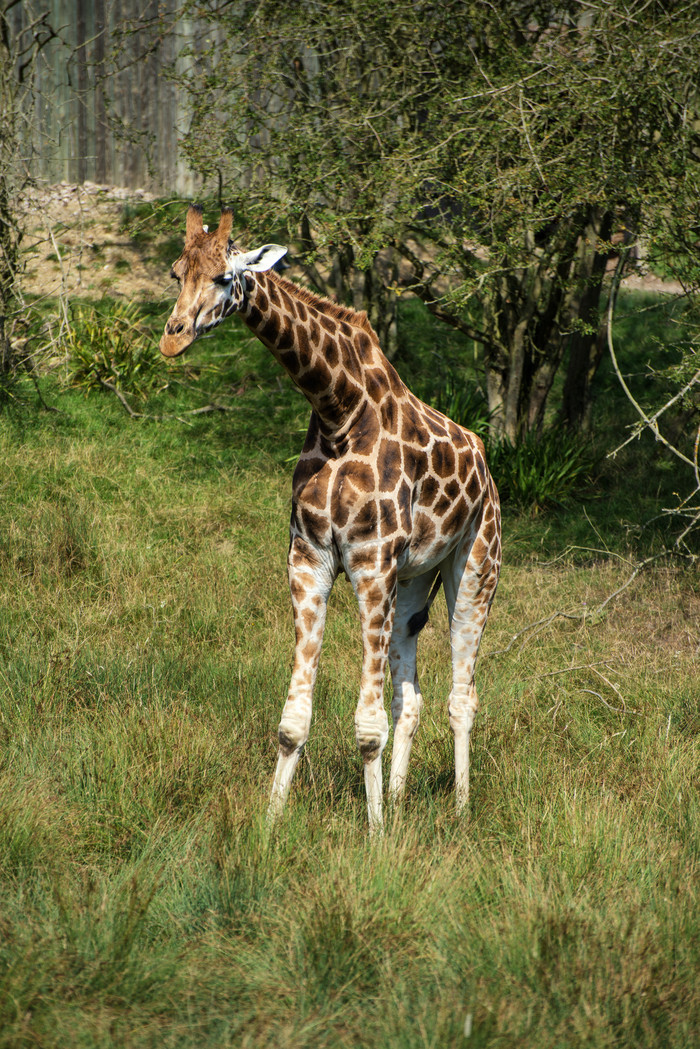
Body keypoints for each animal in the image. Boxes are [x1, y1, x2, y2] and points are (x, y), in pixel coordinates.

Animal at [161, 202, 501, 826]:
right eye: (176, 272)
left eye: (222, 276)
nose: (173, 341)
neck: (339, 410)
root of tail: (485, 463)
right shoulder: (310, 561)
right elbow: (293, 721)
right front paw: (272, 824)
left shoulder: (369, 565)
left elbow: (367, 727)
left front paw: (376, 836)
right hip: (412, 581)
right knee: (410, 697)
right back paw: (400, 797)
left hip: (475, 566)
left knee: (462, 695)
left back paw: (462, 810)